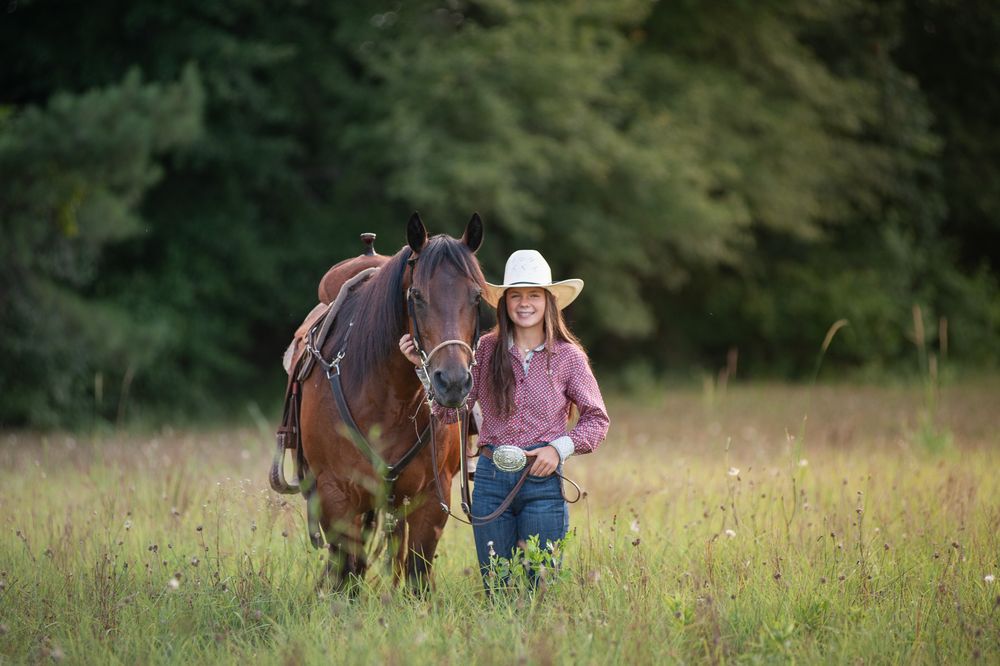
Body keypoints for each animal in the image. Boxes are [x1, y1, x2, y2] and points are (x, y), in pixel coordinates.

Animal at [296, 213, 484, 593]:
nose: (453, 382)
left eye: (476, 296)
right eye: (417, 295)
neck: (388, 398)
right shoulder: (336, 495)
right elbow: (347, 572)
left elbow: (417, 573)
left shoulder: (432, 496)